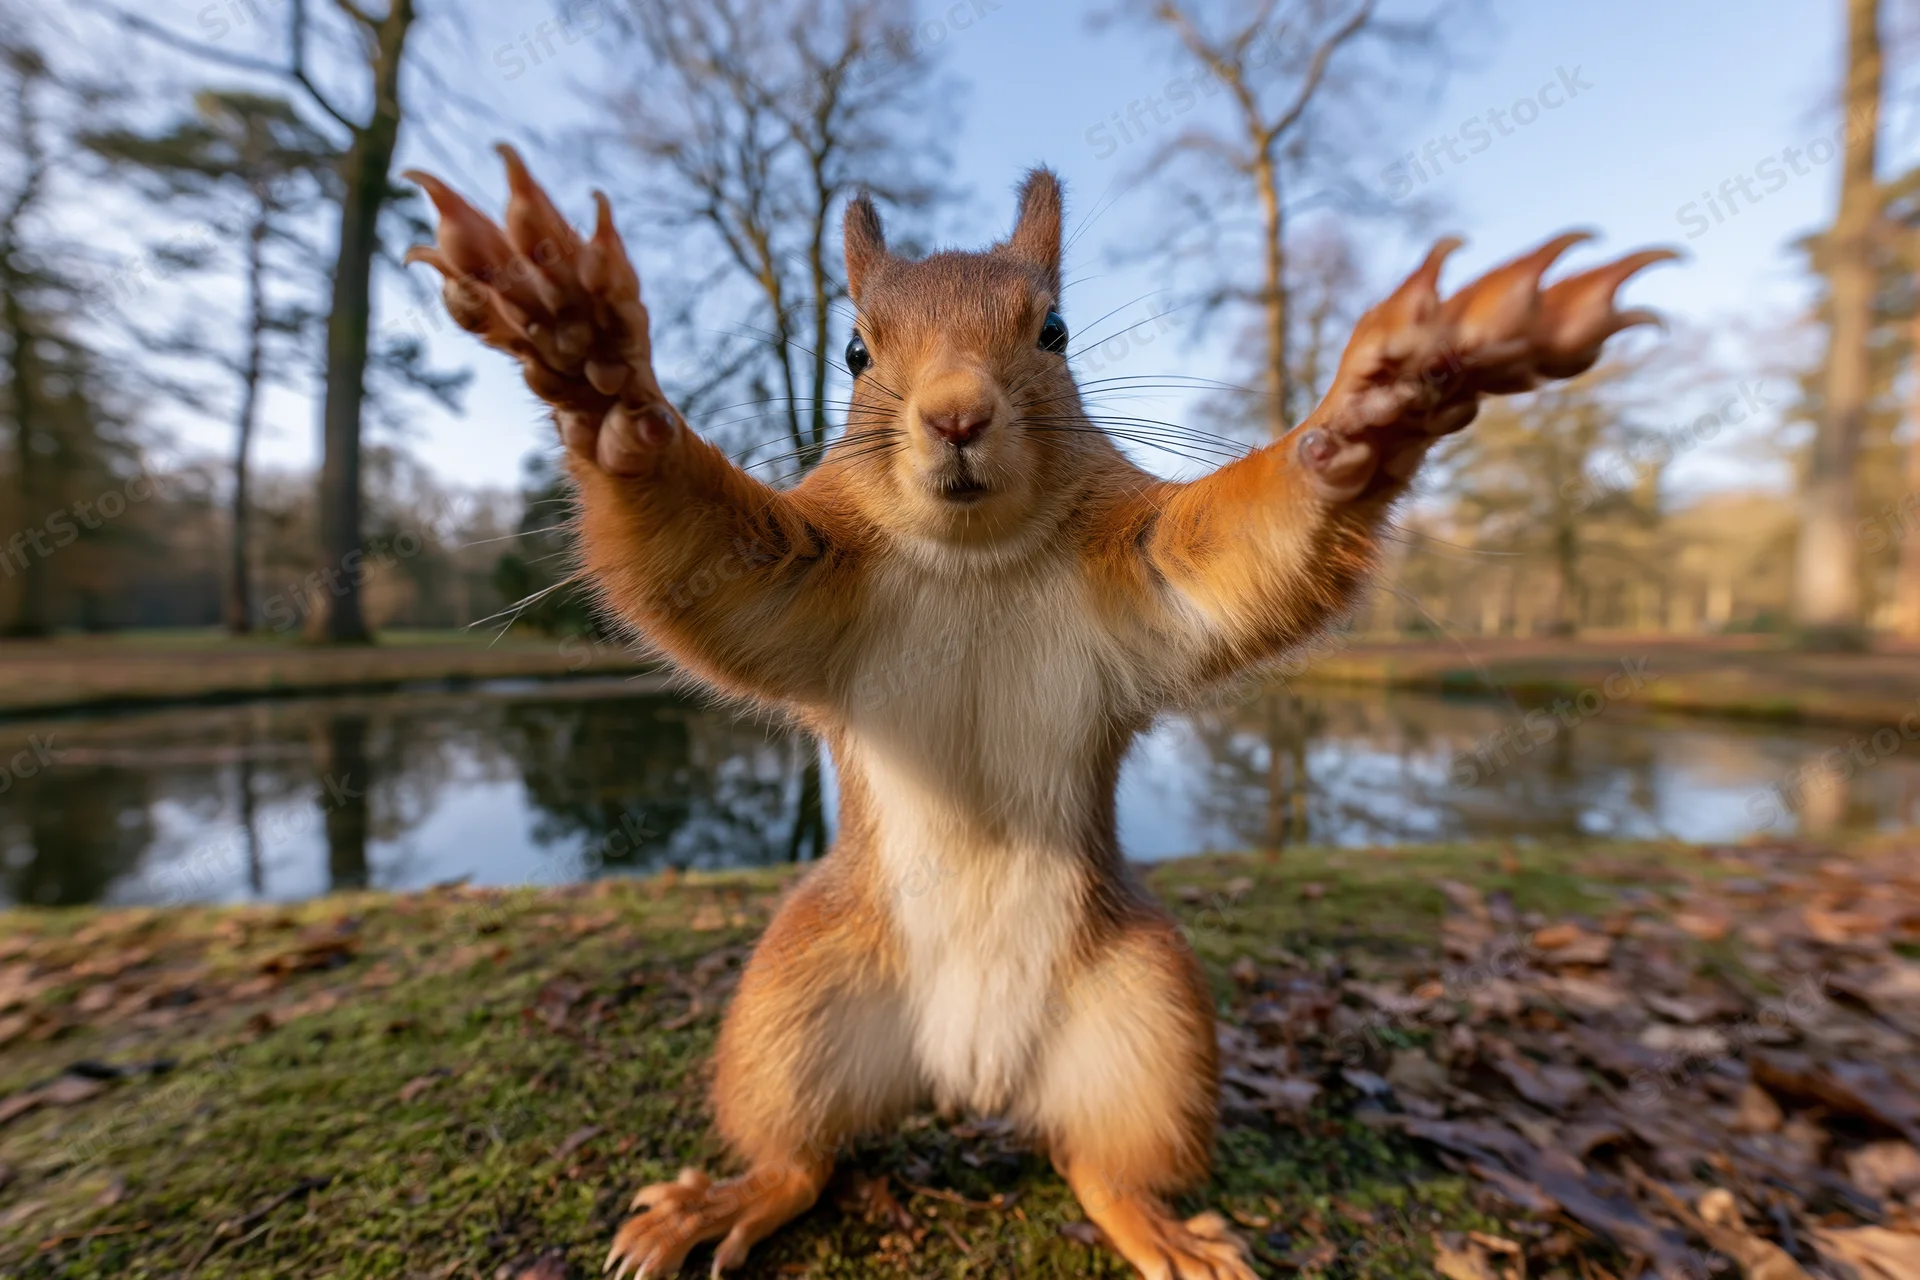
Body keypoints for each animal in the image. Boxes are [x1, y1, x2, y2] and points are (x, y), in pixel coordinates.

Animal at [406, 145, 1672, 1280]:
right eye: (855, 348)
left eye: (1055, 332)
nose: (959, 413)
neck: (975, 556)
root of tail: (973, 1076)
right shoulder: (801, 577)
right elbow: (693, 556)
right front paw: (595, 370)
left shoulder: (1151, 566)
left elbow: (1245, 554)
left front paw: (1383, 404)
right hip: (788, 1007)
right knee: (802, 1156)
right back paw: (721, 1200)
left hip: (1153, 1022)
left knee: (1100, 1163)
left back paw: (1160, 1229)